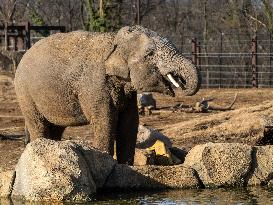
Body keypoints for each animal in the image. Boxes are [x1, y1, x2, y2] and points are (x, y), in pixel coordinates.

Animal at [13, 25, 200, 164]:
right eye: (150, 54)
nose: (181, 84)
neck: (114, 39)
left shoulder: (127, 92)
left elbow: (130, 121)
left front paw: (126, 167)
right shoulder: (95, 84)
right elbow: (105, 120)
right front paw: (107, 164)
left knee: (56, 128)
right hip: (24, 94)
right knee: (38, 124)